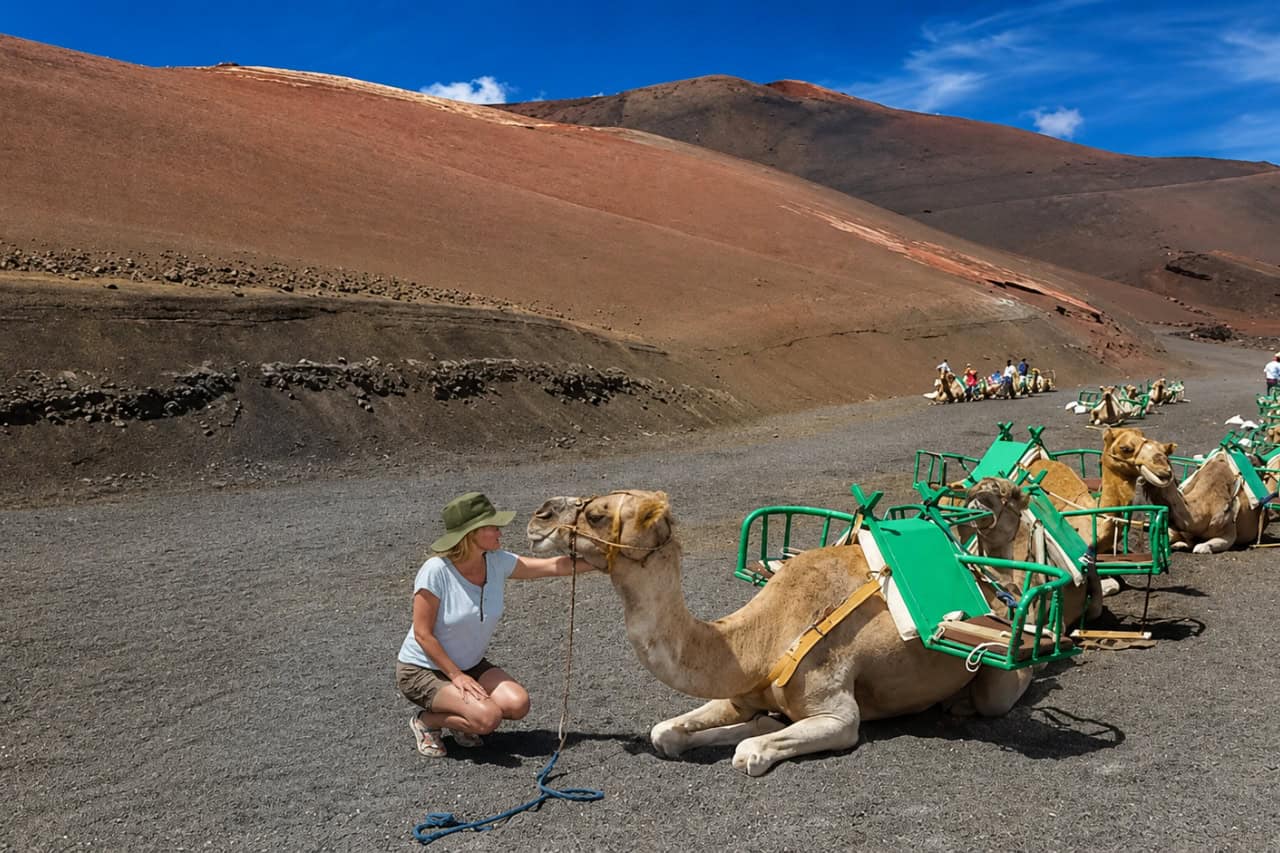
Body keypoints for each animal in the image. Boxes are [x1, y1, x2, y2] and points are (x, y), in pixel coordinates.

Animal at [527, 484, 1074, 776]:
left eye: (597, 514)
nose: (538, 515)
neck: (760, 639)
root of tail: (998, 584)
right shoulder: (741, 690)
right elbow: (666, 733)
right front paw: (747, 725)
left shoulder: (838, 713)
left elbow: (749, 751)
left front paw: (755, 739)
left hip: (1005, 674)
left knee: (1004, 692)